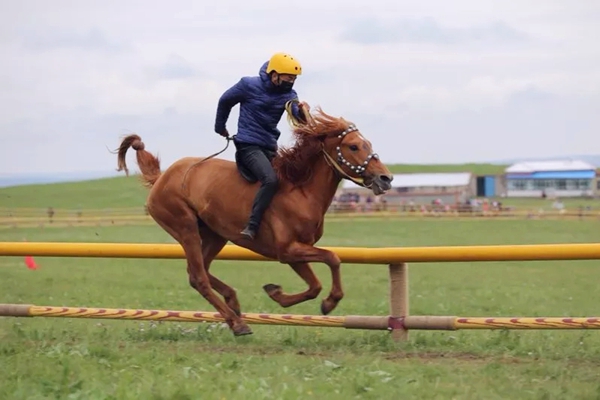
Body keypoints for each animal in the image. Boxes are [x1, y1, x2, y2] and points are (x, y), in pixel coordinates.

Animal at [116, 106, 394, 334]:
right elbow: (332, 258)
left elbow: (314, 284)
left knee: (199, 270)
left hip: (215, 235)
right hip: (185, 228)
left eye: (367, 143)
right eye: (353, 146)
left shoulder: (294, 252)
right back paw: (237, 323)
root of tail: (160, 178)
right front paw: (329, 301)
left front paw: (278, 293)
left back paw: (233, 303)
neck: (300, 189)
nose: (386, 179)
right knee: (198, 277)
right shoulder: (288, 250)